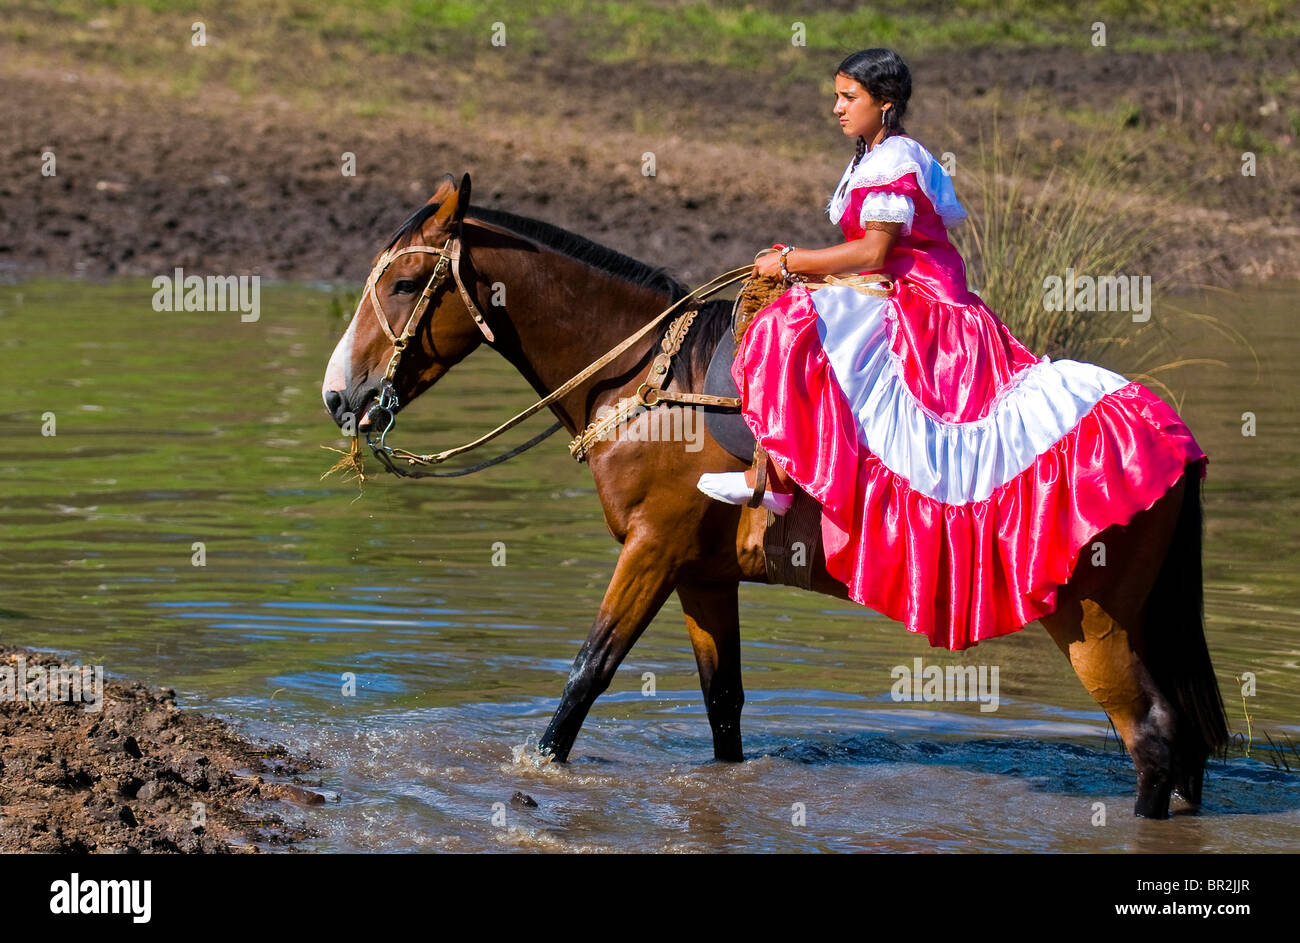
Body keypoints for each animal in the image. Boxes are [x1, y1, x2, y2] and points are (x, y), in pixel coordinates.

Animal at [322, 174, 1227, 816]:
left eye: (403, 285)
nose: (339, 396)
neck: (651, 380)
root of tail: (1170, 432)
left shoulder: (651, 551)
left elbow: (585, 675)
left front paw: (536, 770)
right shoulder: (700, 573)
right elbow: (723, 707)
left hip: (1092, 622)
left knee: (1153, 738)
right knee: (1184, 749)